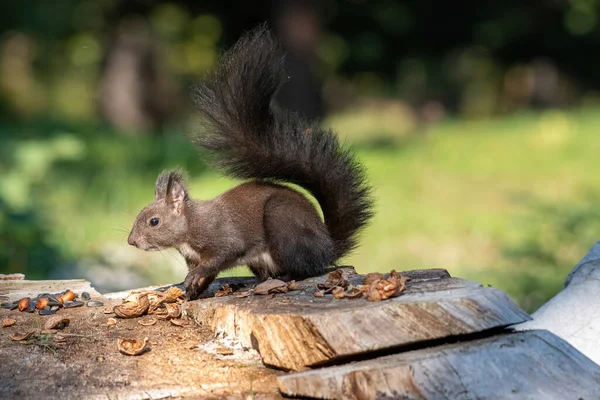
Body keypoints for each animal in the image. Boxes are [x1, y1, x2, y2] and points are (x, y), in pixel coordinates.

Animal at [127, 25, 372, 300]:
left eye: (154, 221)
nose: (132, 241)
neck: (191, 225)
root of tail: (326, 247)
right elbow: (208, 273)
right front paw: (191, 292)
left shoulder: (224, 239)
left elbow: (220, 257)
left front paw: (193, 279)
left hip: (283, 220)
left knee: (306, 269)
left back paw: (285, 278)